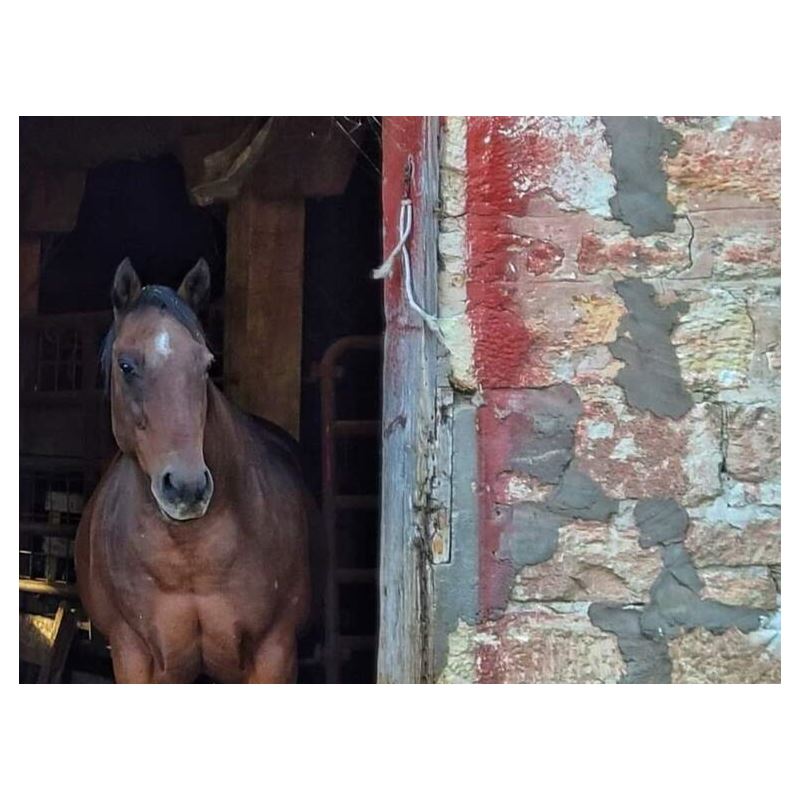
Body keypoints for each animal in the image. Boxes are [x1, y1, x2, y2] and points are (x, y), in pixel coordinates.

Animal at [75, 258, 313, 683]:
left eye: (206, 365)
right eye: (126, 365)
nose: (186, 488)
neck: (190, 555)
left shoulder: (276, 652)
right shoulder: (133, 653)